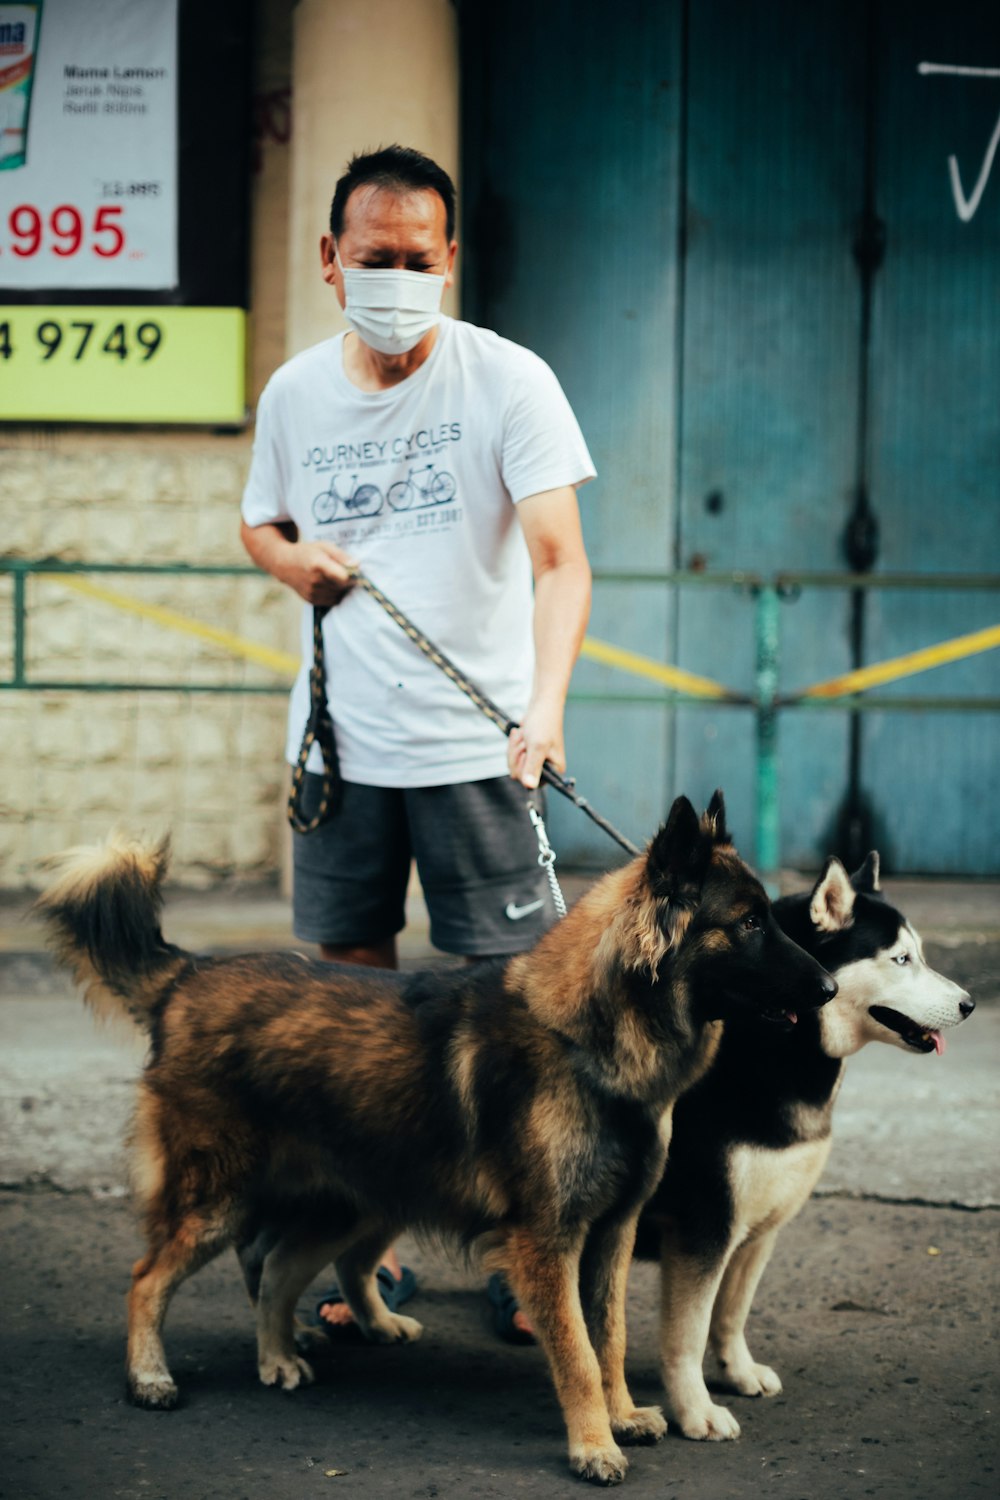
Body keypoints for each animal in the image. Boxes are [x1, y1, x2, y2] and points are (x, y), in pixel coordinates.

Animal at [37, 792, 839, 1482]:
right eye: (748, 924)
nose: (830, 988)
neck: (588, 1039)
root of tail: (188, 976)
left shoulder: (610, 1234)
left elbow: (607, 1337)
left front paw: (622, 1416)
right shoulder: (548, 1240)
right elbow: (577, 1352)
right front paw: (593, 1445)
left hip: (349, 1203)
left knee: (279, 1268)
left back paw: (278, 1354)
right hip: (220, 1201)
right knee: (149, 1277)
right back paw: (150, 1375)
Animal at [638, 852, 971, 1434]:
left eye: (922, 955)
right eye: (901, 958)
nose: (970, 1004)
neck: (778, 1043)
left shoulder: (760, 1228)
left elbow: (730, 1314)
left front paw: (736, 1372)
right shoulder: (703, 1228)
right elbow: (688, 1332)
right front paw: (696, 1410)